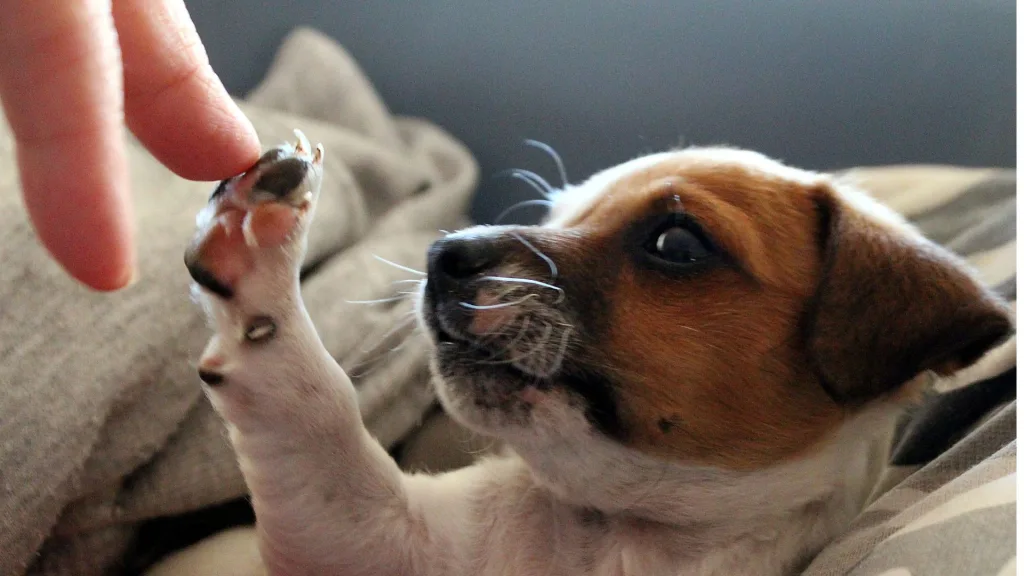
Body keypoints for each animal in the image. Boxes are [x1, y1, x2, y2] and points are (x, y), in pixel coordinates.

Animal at [182, 131, 1007, 573]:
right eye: (555, 215)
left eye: (676, 243)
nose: (443, 253)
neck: (618, 531)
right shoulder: (365, 538)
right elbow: (314, 406)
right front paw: (255, 245)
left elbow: (312, 404)